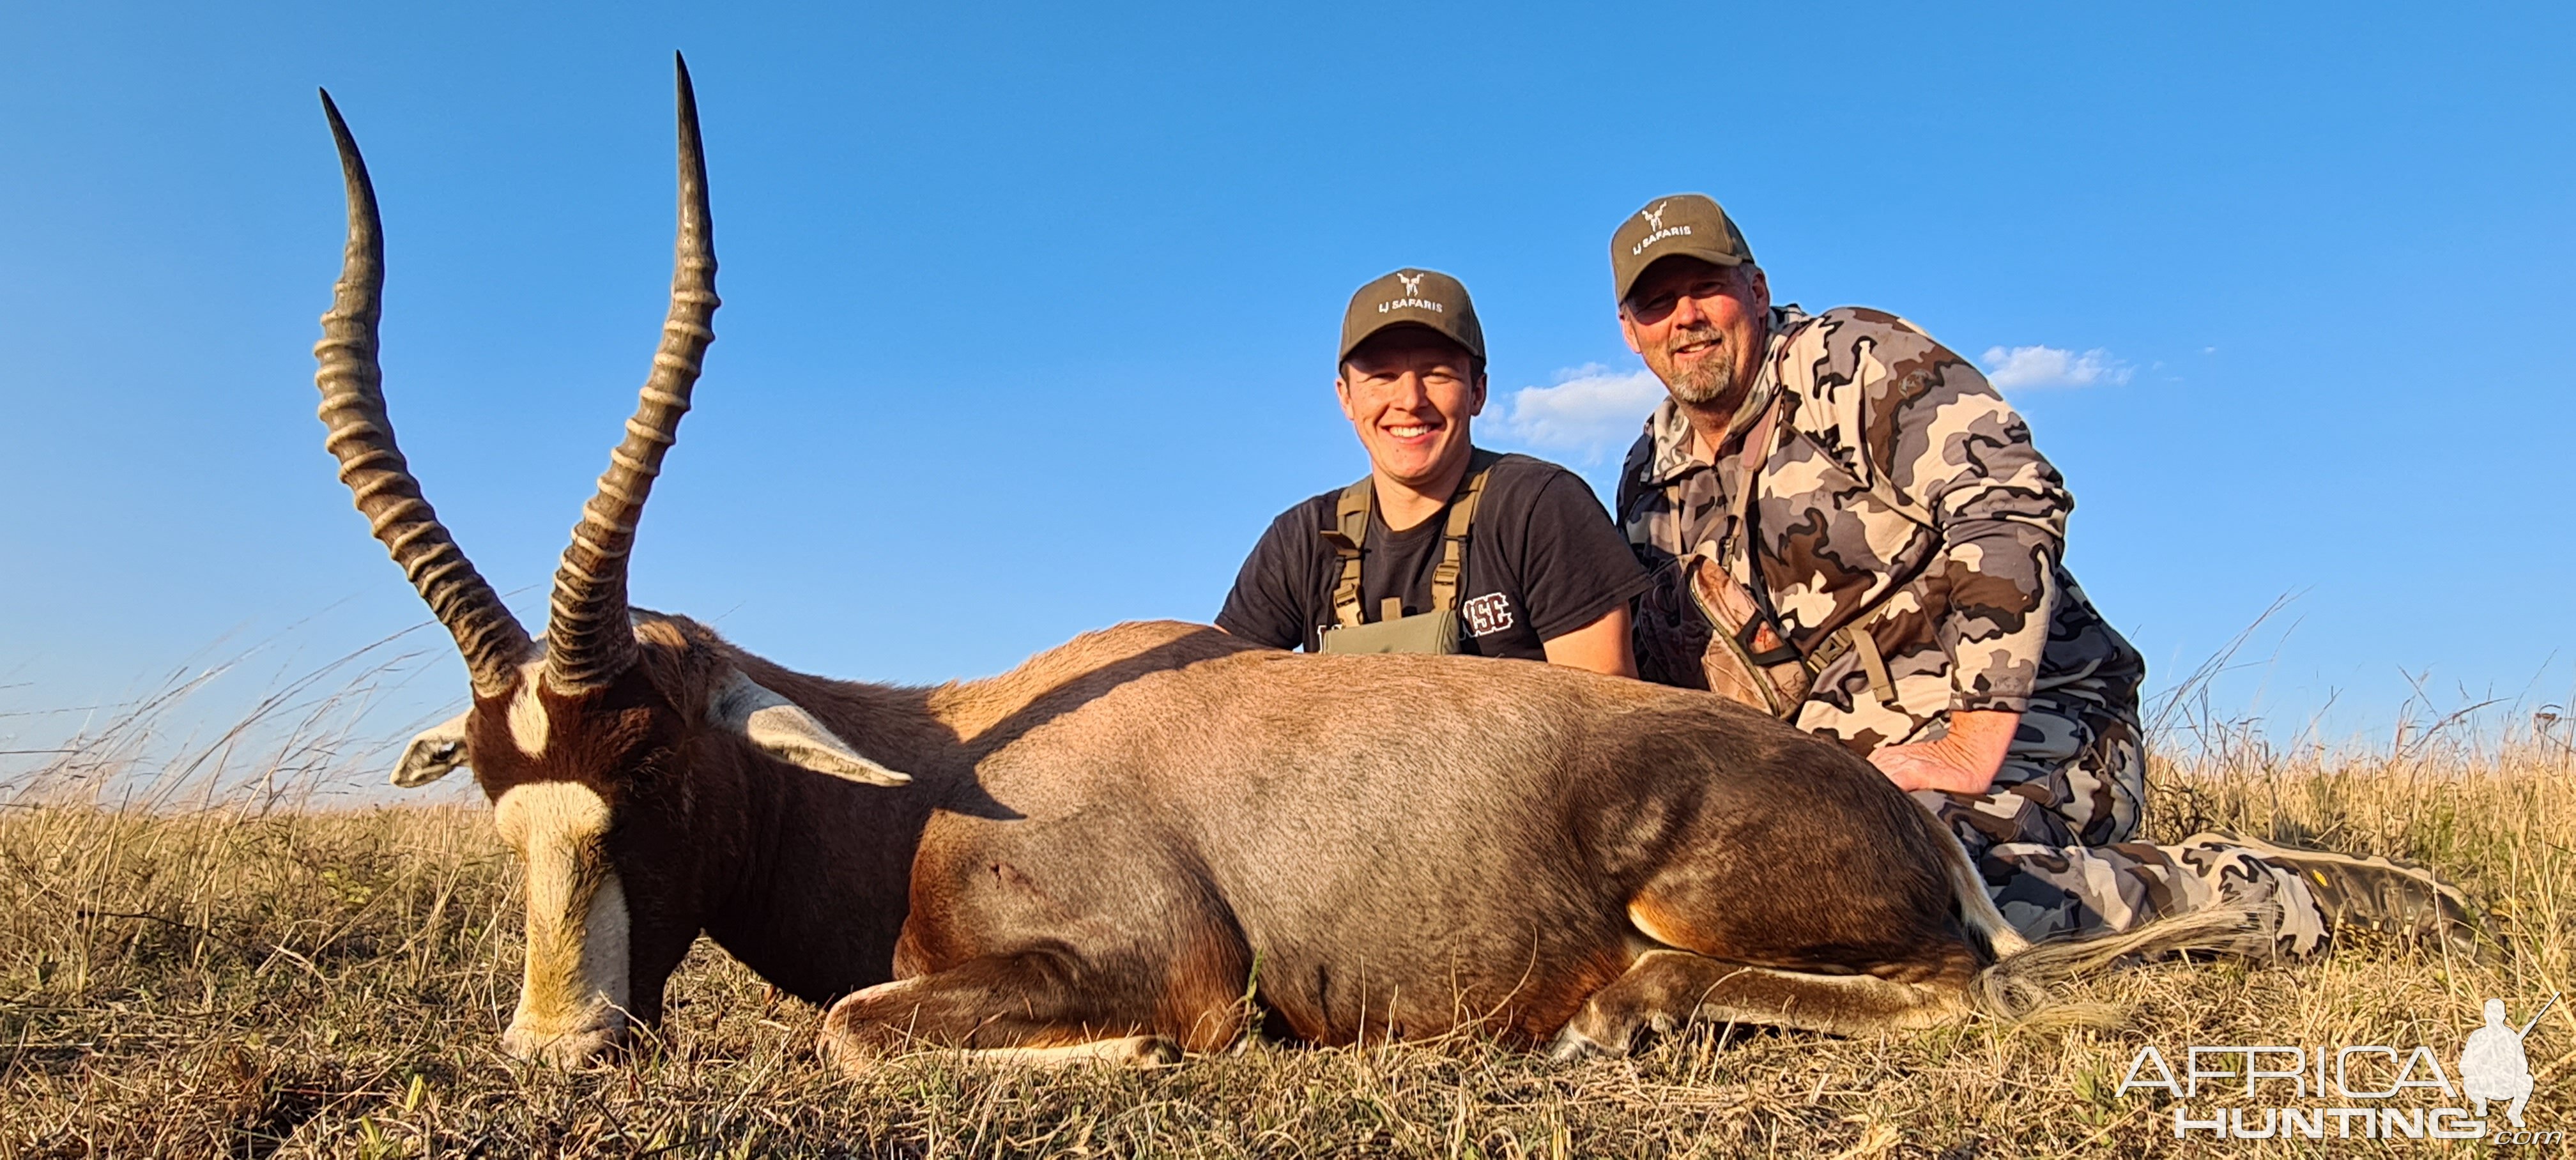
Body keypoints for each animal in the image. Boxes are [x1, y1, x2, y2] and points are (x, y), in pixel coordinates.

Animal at [316, 54, 2235, 1067]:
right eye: (491, 778)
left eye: (653, 757)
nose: (560, 1042)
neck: (945, 760)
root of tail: (1917, 817)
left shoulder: (1157, 953)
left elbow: (875, 1021)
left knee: (1944, 983)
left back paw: (1621, 1016)